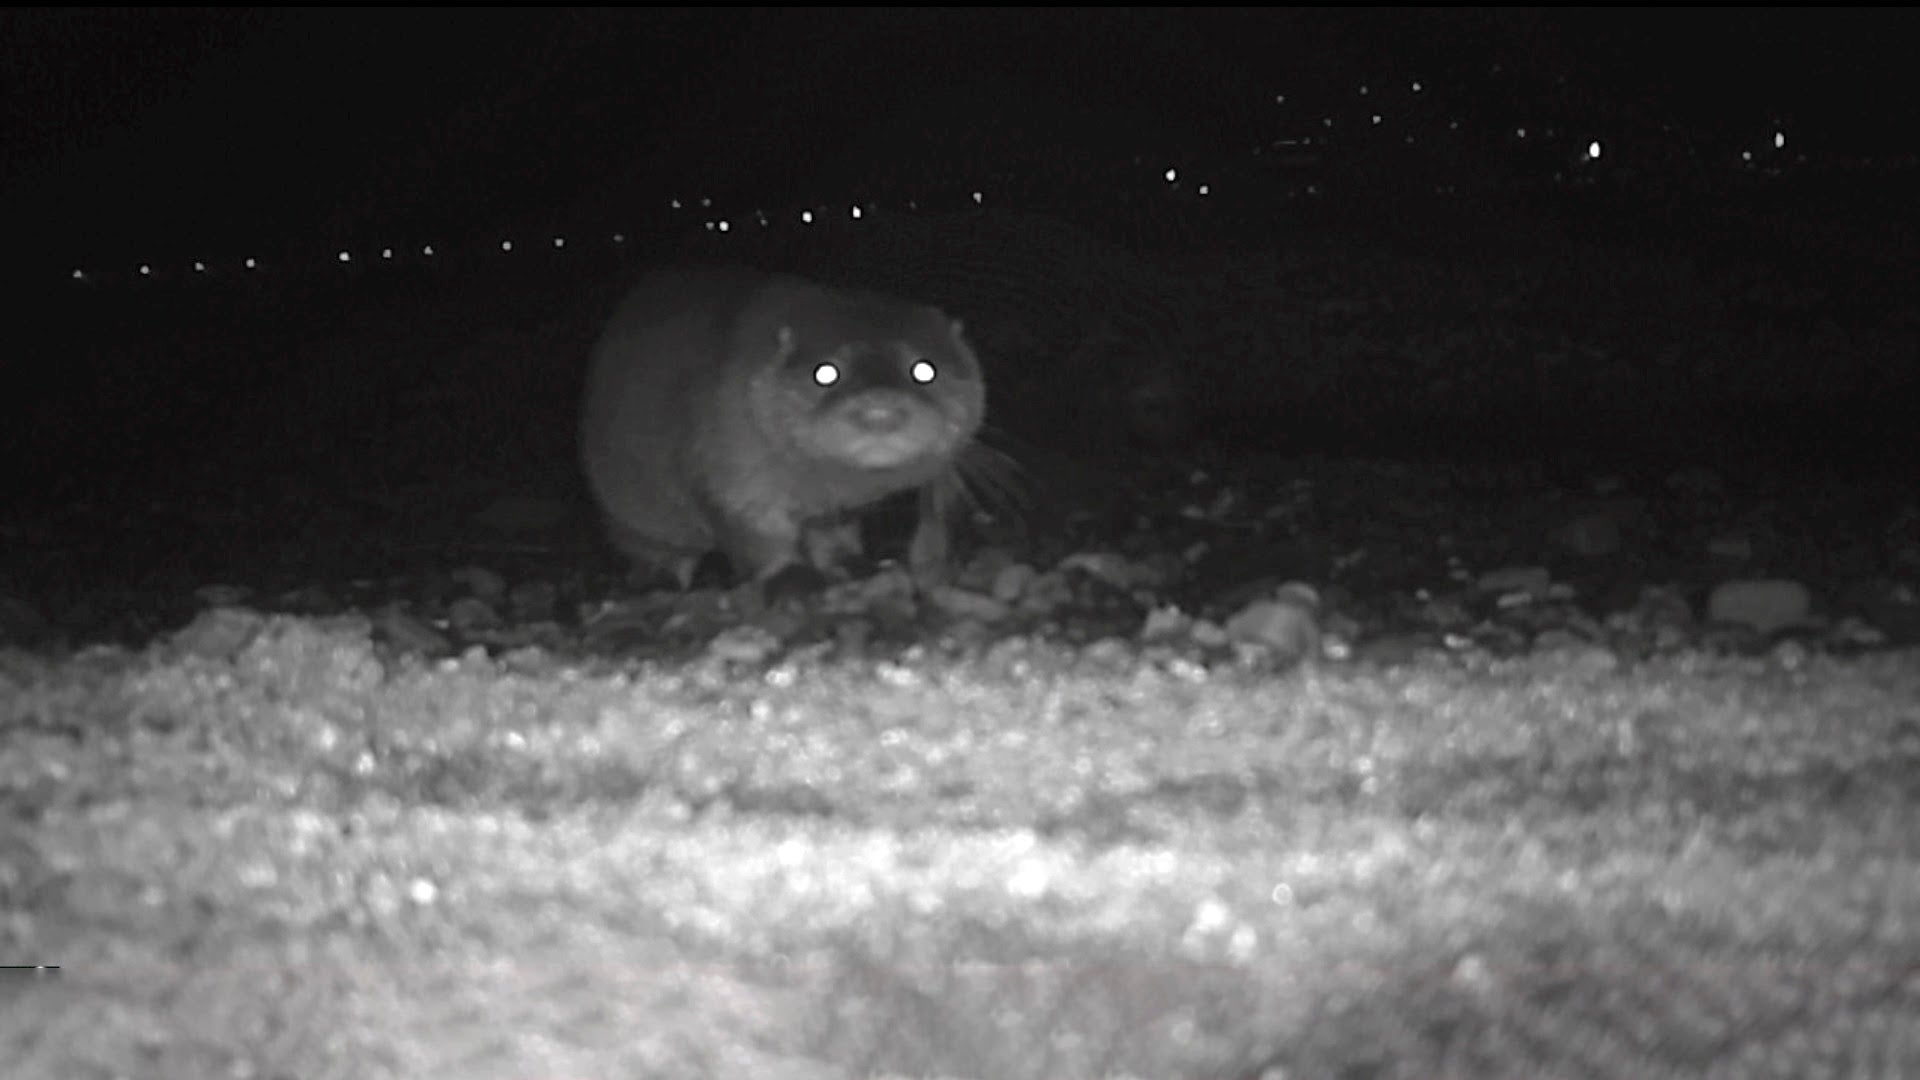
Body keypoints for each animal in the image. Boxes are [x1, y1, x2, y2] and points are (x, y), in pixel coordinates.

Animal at [576, 265, 983, 591]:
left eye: (924, 369)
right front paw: (792, 579)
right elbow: (757, 538)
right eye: (825, 372)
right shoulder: (728, 469)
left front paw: (853, 566)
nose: (879, 409)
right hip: (627, 514)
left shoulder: (839, 510)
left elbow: (833, 537)